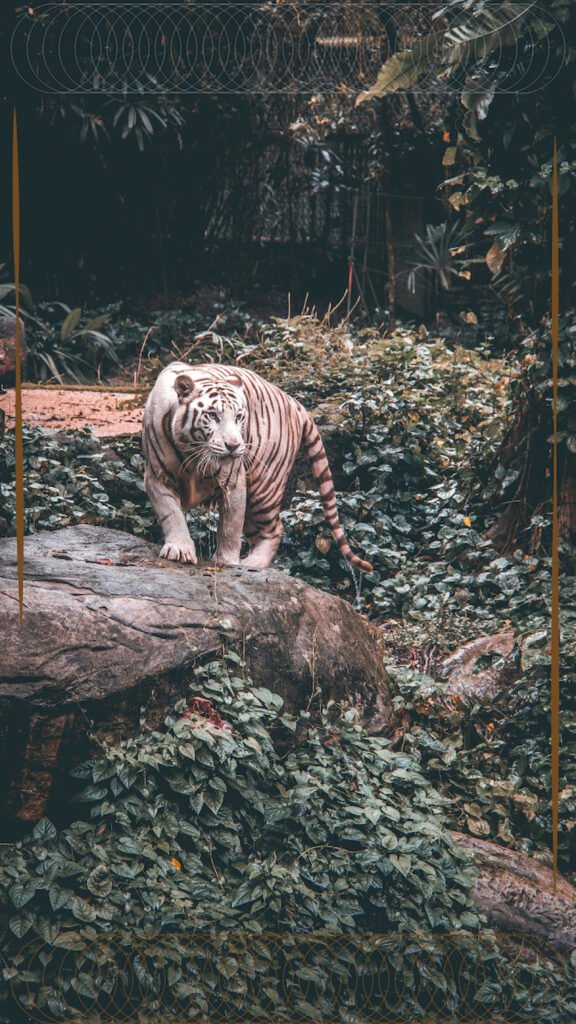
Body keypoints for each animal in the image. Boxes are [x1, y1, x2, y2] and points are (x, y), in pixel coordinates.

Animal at [141, 361, 373, 573]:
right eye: (212, 415)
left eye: (238, 417)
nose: (233, 446)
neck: (194, 453)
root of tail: (292, 400)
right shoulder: (157, 477)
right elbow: (171, 514)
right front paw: (180, 550)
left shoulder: (234, 482)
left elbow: (230, 526)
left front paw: (226, 561)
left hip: (264, 487)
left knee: (274, 529)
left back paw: (252, 564)